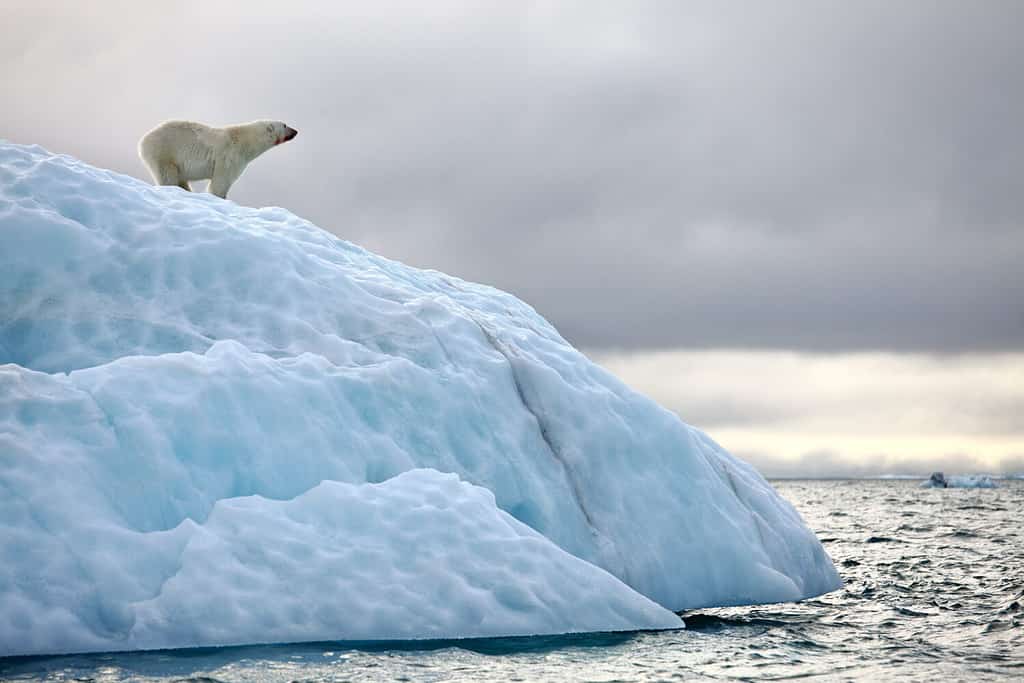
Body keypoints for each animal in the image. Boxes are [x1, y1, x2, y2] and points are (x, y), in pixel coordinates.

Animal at [138, 120, 298, 199]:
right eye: (284, 125)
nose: (295, 131)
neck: (246, 142)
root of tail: (142, 141)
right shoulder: (230, 156)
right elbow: (221, 182)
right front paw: (220, 198)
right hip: (164, 152)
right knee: (167, 175)